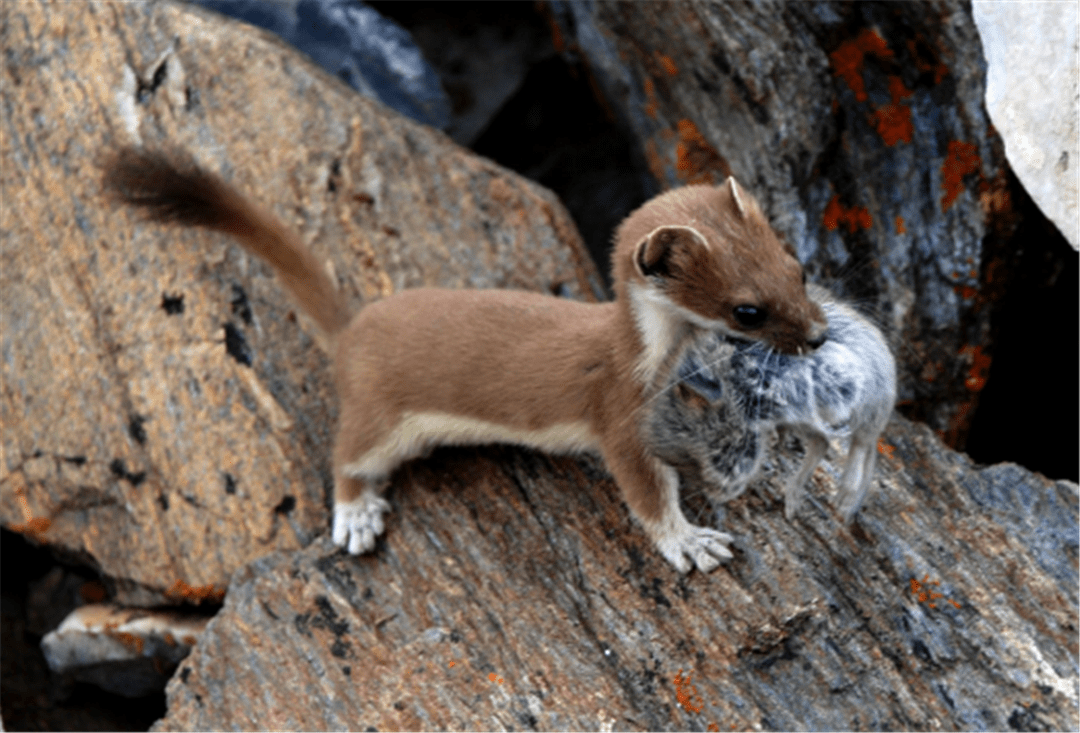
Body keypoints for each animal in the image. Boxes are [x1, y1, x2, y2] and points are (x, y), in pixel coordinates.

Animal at [105, 148, 825, 574]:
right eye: (748, 309)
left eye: (797, 266)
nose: (819, 335)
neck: (661, 359)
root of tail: (356, 328)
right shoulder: (619, 417)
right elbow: (646, 493)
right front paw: (692, 542)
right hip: (379, 415)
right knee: (345, 456)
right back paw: (357, 516)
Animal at [648, 284, 894, 522]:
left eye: (717, 450)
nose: (718, 497)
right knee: (829, 445)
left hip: (868, 413)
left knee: (857, 448)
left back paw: (841, 503)